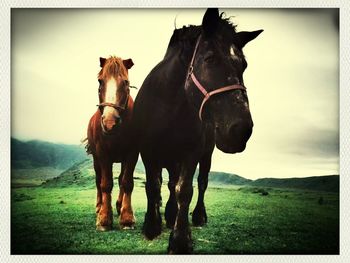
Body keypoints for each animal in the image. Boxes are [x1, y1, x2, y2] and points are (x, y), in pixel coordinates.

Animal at [86, 56, 137, 231]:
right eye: (100, 81)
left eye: (126, 83)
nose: (109, 122)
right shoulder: (102, 154)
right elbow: (105, 183)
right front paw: (104, 218)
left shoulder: (132, 153)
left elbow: (126, 182)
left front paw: (127, 217)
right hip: (96, 160)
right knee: (98, 180)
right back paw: (98, 206)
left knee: (121, 179)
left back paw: (119, 205)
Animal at [131, 9, 262, 255]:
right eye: (210, 58)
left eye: (245, 65)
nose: (241, 130)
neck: (168, 107)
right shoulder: (148, 152)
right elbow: (153, 187)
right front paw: (152, 226)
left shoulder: (190, 153)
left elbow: (185, 191)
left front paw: (180, 239)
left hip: (205, 155)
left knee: (201, 183)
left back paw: (197, 216)